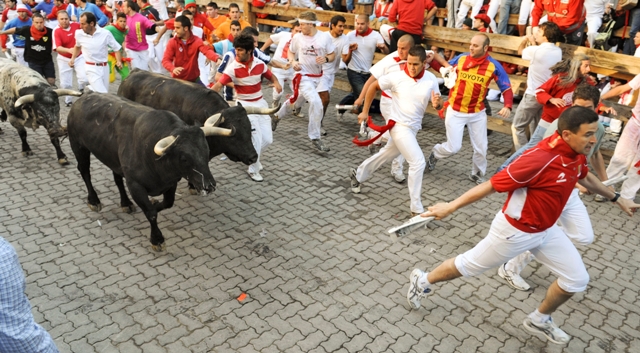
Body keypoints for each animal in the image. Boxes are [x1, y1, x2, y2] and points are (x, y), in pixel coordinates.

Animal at [67, 91, 228, 250]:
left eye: (207, 151)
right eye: (184, 158)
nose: (209, 185)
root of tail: (85, 95)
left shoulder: (171, 182)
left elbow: (167, 203)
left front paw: (155, 203)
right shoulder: (135, 185)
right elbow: (151, 213)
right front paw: (157, 239)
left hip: (113, 159)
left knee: (117, 178)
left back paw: (126, 203)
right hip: (78, 146)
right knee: (85, 171)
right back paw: (94, 201)